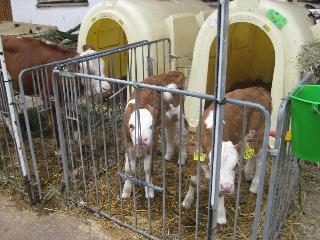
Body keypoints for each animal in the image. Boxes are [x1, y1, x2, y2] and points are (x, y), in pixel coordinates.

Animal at [122, 71, 188, 199]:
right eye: (131, 126)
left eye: (151, 126)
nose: (142, 139)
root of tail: (171, 74)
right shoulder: (128, 143)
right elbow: (128, 169)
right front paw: (126, 191)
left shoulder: (152, 144)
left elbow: (148, 168)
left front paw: (149, 191)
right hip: (165, 118)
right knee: (170, 134)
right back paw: (168, 155)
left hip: (178, 115)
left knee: (182, 136)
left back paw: (182, 159)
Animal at [184, 86, 272, 225]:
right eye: (212, 165)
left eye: (235, 166)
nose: (227, 187)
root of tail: (260, 89)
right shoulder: (197, 155)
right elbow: (193, 181)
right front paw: (187, 200)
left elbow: (219, 193)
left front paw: (220, 216)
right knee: (250, 152)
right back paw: (248, 173)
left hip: (260, 133)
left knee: (259, 157)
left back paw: (255, 185)